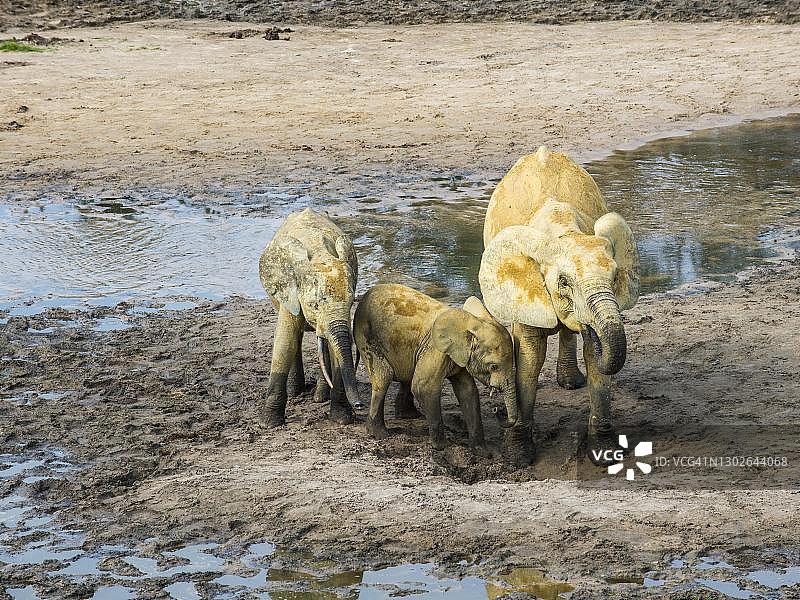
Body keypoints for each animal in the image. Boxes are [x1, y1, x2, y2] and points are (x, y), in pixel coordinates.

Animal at [259, 208, 364, 427]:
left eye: (352, 302)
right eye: (314, 304)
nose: (359, 405)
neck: (319, 252)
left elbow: (335, 348)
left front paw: (341, 419)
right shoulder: (289, 291)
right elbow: (285, 342)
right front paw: (269, 424)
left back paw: (320, 397)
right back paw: (296, 392)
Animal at [353, 283, 518, 455]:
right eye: (494, 366)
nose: (497, 410)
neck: (471, 322)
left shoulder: (460, 356)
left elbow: (467, 392)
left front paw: (482, 452)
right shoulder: (435, 350)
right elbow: (424, 387)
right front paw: (443, 447)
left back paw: (409, 416)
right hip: (366, 337)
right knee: (384, 377)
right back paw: (380, 434)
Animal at [479, 146, 640, 466]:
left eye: (615, 276)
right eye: (564, 283)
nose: (588, 327)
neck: (562, 232)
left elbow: (594, 358)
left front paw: (605, 455)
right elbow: (530, 357)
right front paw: (518, 457)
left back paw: (570, 382)